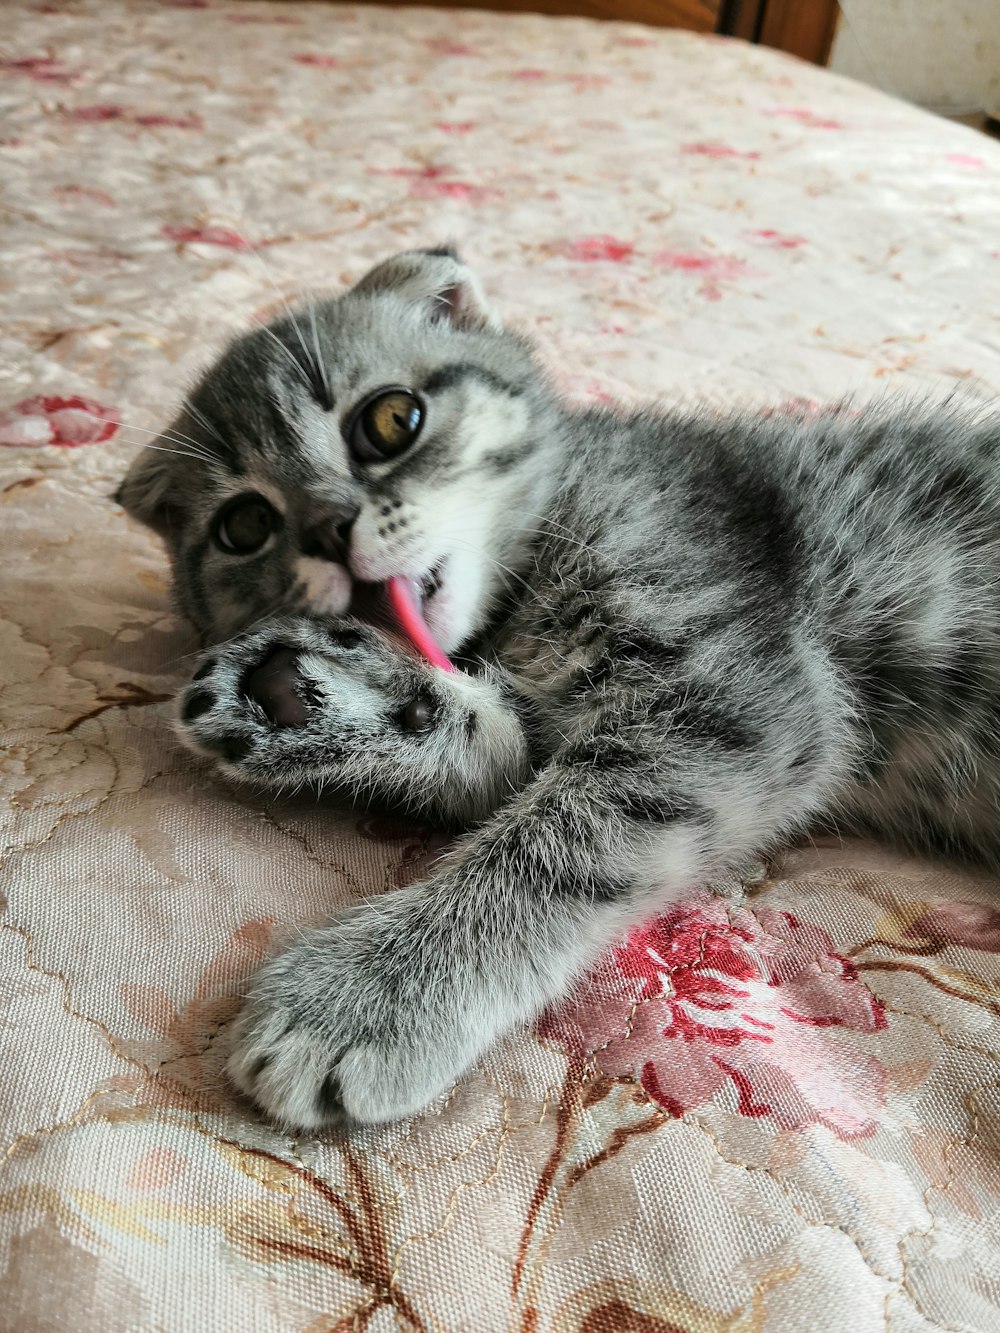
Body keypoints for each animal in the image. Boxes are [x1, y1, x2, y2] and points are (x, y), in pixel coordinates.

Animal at [121, 247, 1000, 1125]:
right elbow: (506, 760)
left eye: (391, 419)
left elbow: (555, 842)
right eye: (244, 525)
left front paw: (368, 992)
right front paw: (321, 699)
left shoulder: (739, 698)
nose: (329, 528)